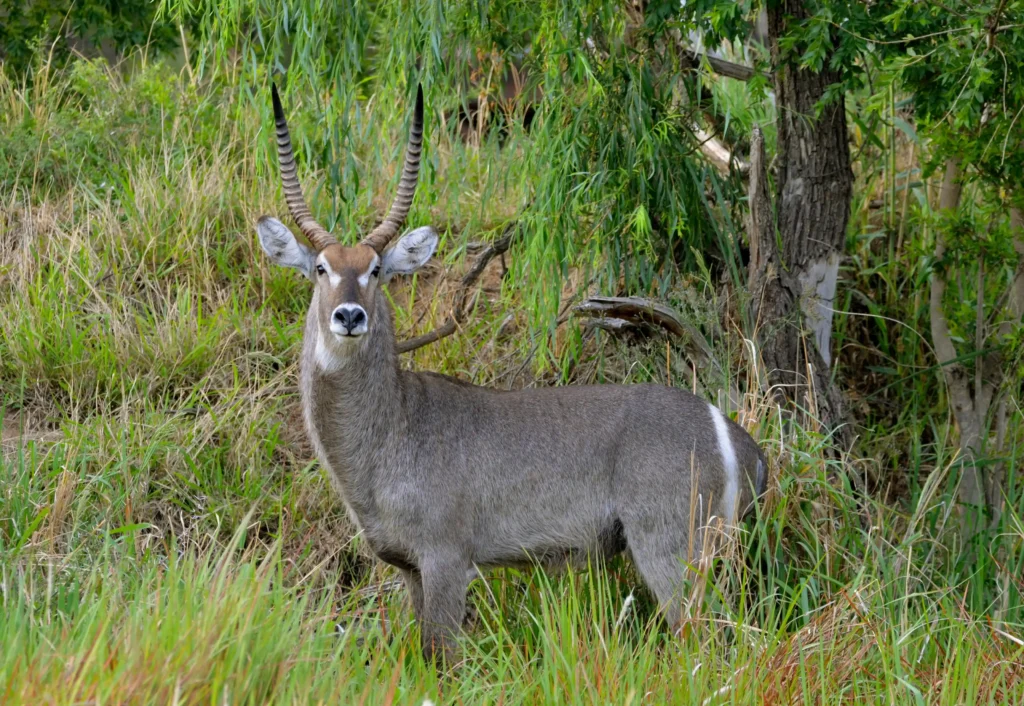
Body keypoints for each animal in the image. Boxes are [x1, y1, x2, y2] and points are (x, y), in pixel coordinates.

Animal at [255, 83, 767, 664]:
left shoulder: (447, 559)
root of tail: (733, 435)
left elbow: (443, 657)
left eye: (376, 269)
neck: (394, 428)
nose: (349, 316)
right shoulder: (409, 567)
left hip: (672, 548)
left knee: (707, 642)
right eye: (320, 268)